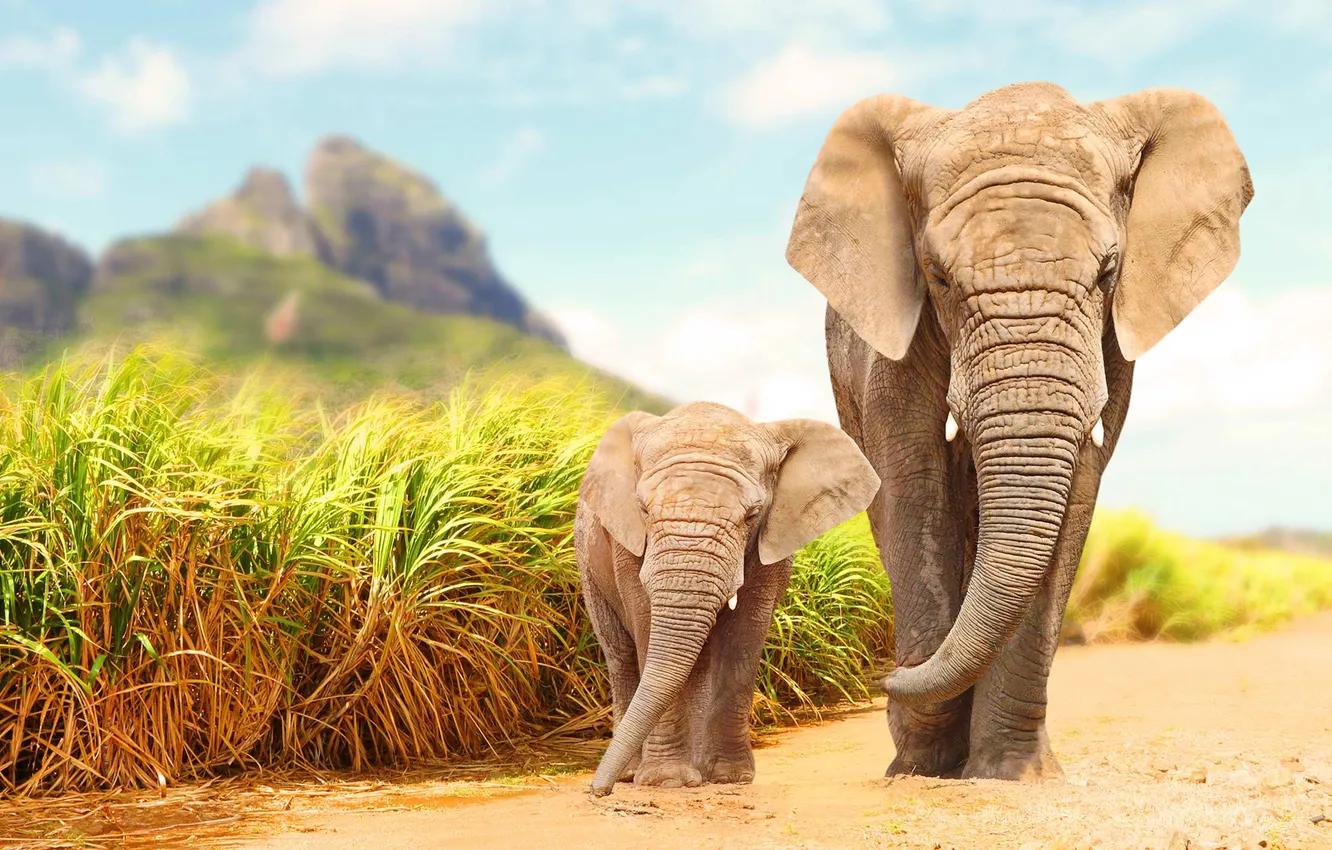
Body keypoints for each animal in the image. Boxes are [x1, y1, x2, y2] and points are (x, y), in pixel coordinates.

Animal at [578, 401, 881, 796]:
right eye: (643, 509)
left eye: (752, 514)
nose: (597, 790)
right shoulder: (626, 545)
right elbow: (645, 625)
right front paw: (667, 782)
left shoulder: (773, 541)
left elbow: (743, 638)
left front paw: (730, 778)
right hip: (587, 566)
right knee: (621, 655)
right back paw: (633, 773)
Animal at [784, 82, 1252, 781]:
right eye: (937, 276)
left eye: (1109, 272)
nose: (886, 676)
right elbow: (913, 482)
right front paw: (922, 764)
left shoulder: (1111, 343)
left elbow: (1077, 488)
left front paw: (1011, 774)